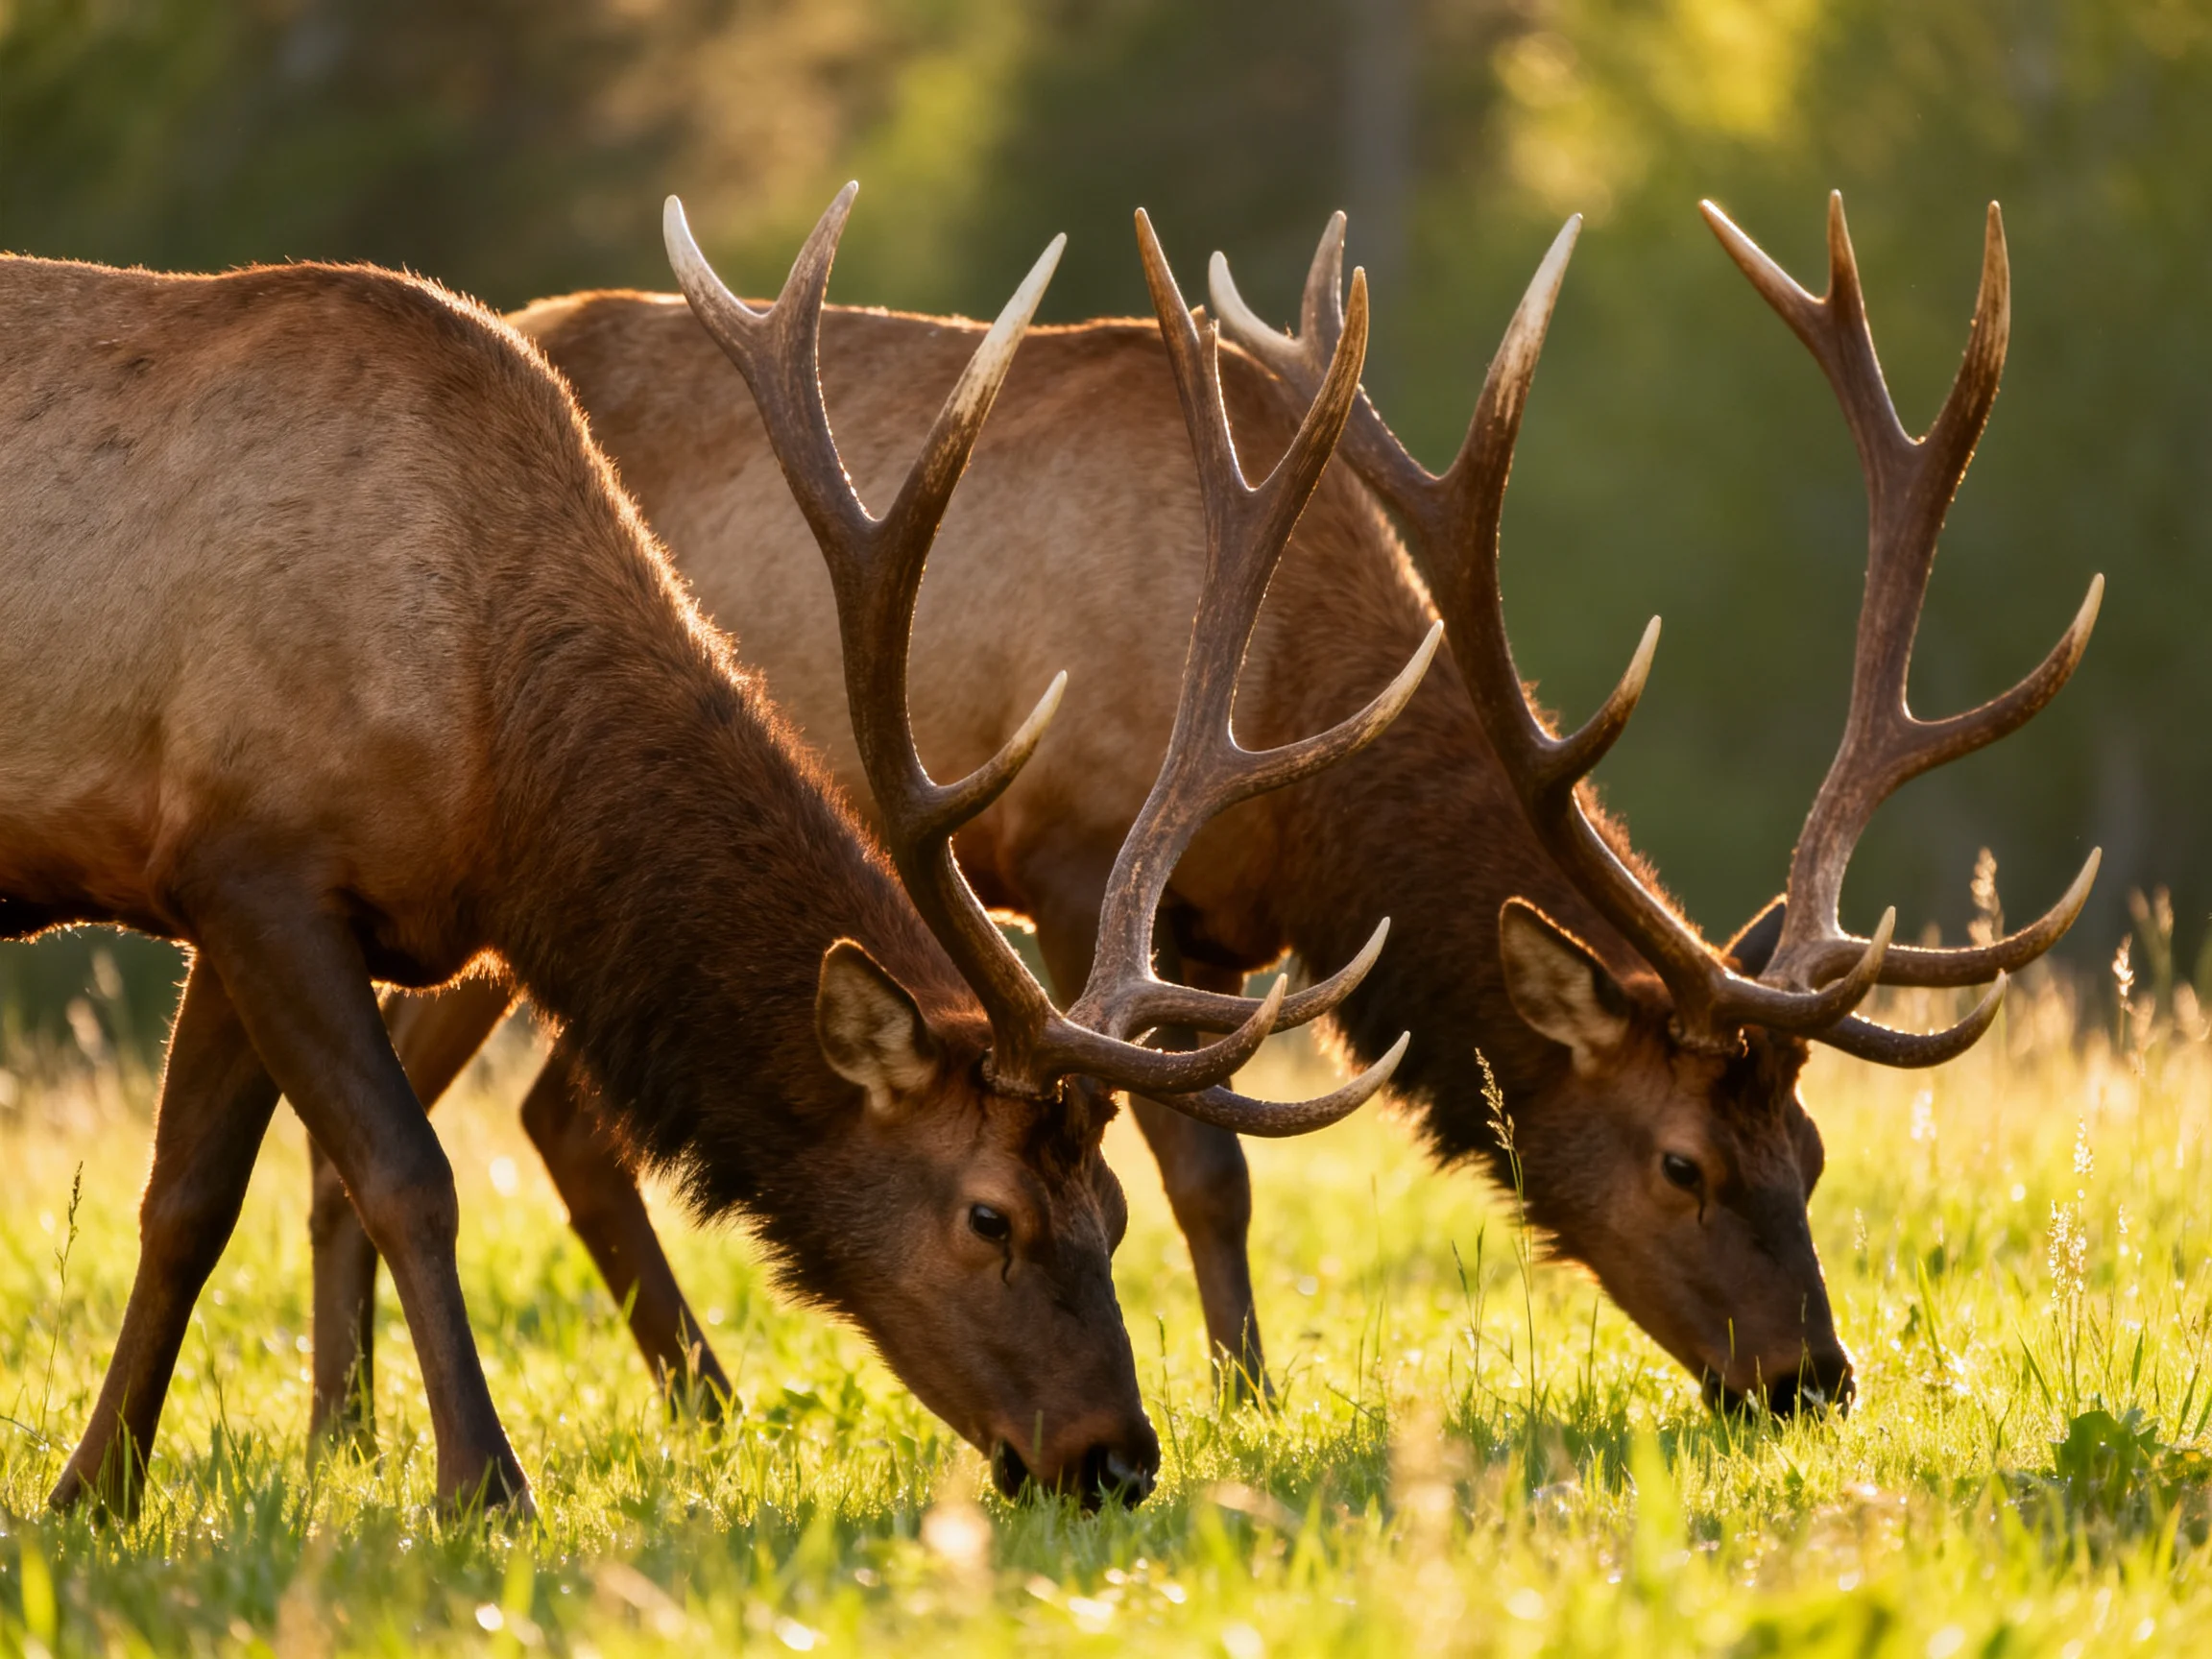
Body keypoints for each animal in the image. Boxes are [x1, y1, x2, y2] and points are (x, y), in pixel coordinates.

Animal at [0, 184, 1430, 1516]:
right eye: (990, 1217)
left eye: (1114, 1213)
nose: (1115, 1459)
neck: (493, 745)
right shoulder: (252, 861)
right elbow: (403, 1175)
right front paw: (483, 1485)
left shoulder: (235, 889)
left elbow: (184, 1203)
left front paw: (97, 1488)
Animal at [300, 191, 2097, 1430]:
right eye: (1678, 1165)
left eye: (1809, 1146)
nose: (1810, 1377)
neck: (1304, 733)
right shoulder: (1084, 857)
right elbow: (1208, 1172)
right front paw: (1247, 1398)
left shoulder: (1216, 930)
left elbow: (1215, 1169)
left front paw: (1234, 1379)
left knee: (542, 1115)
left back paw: (633, 1409)